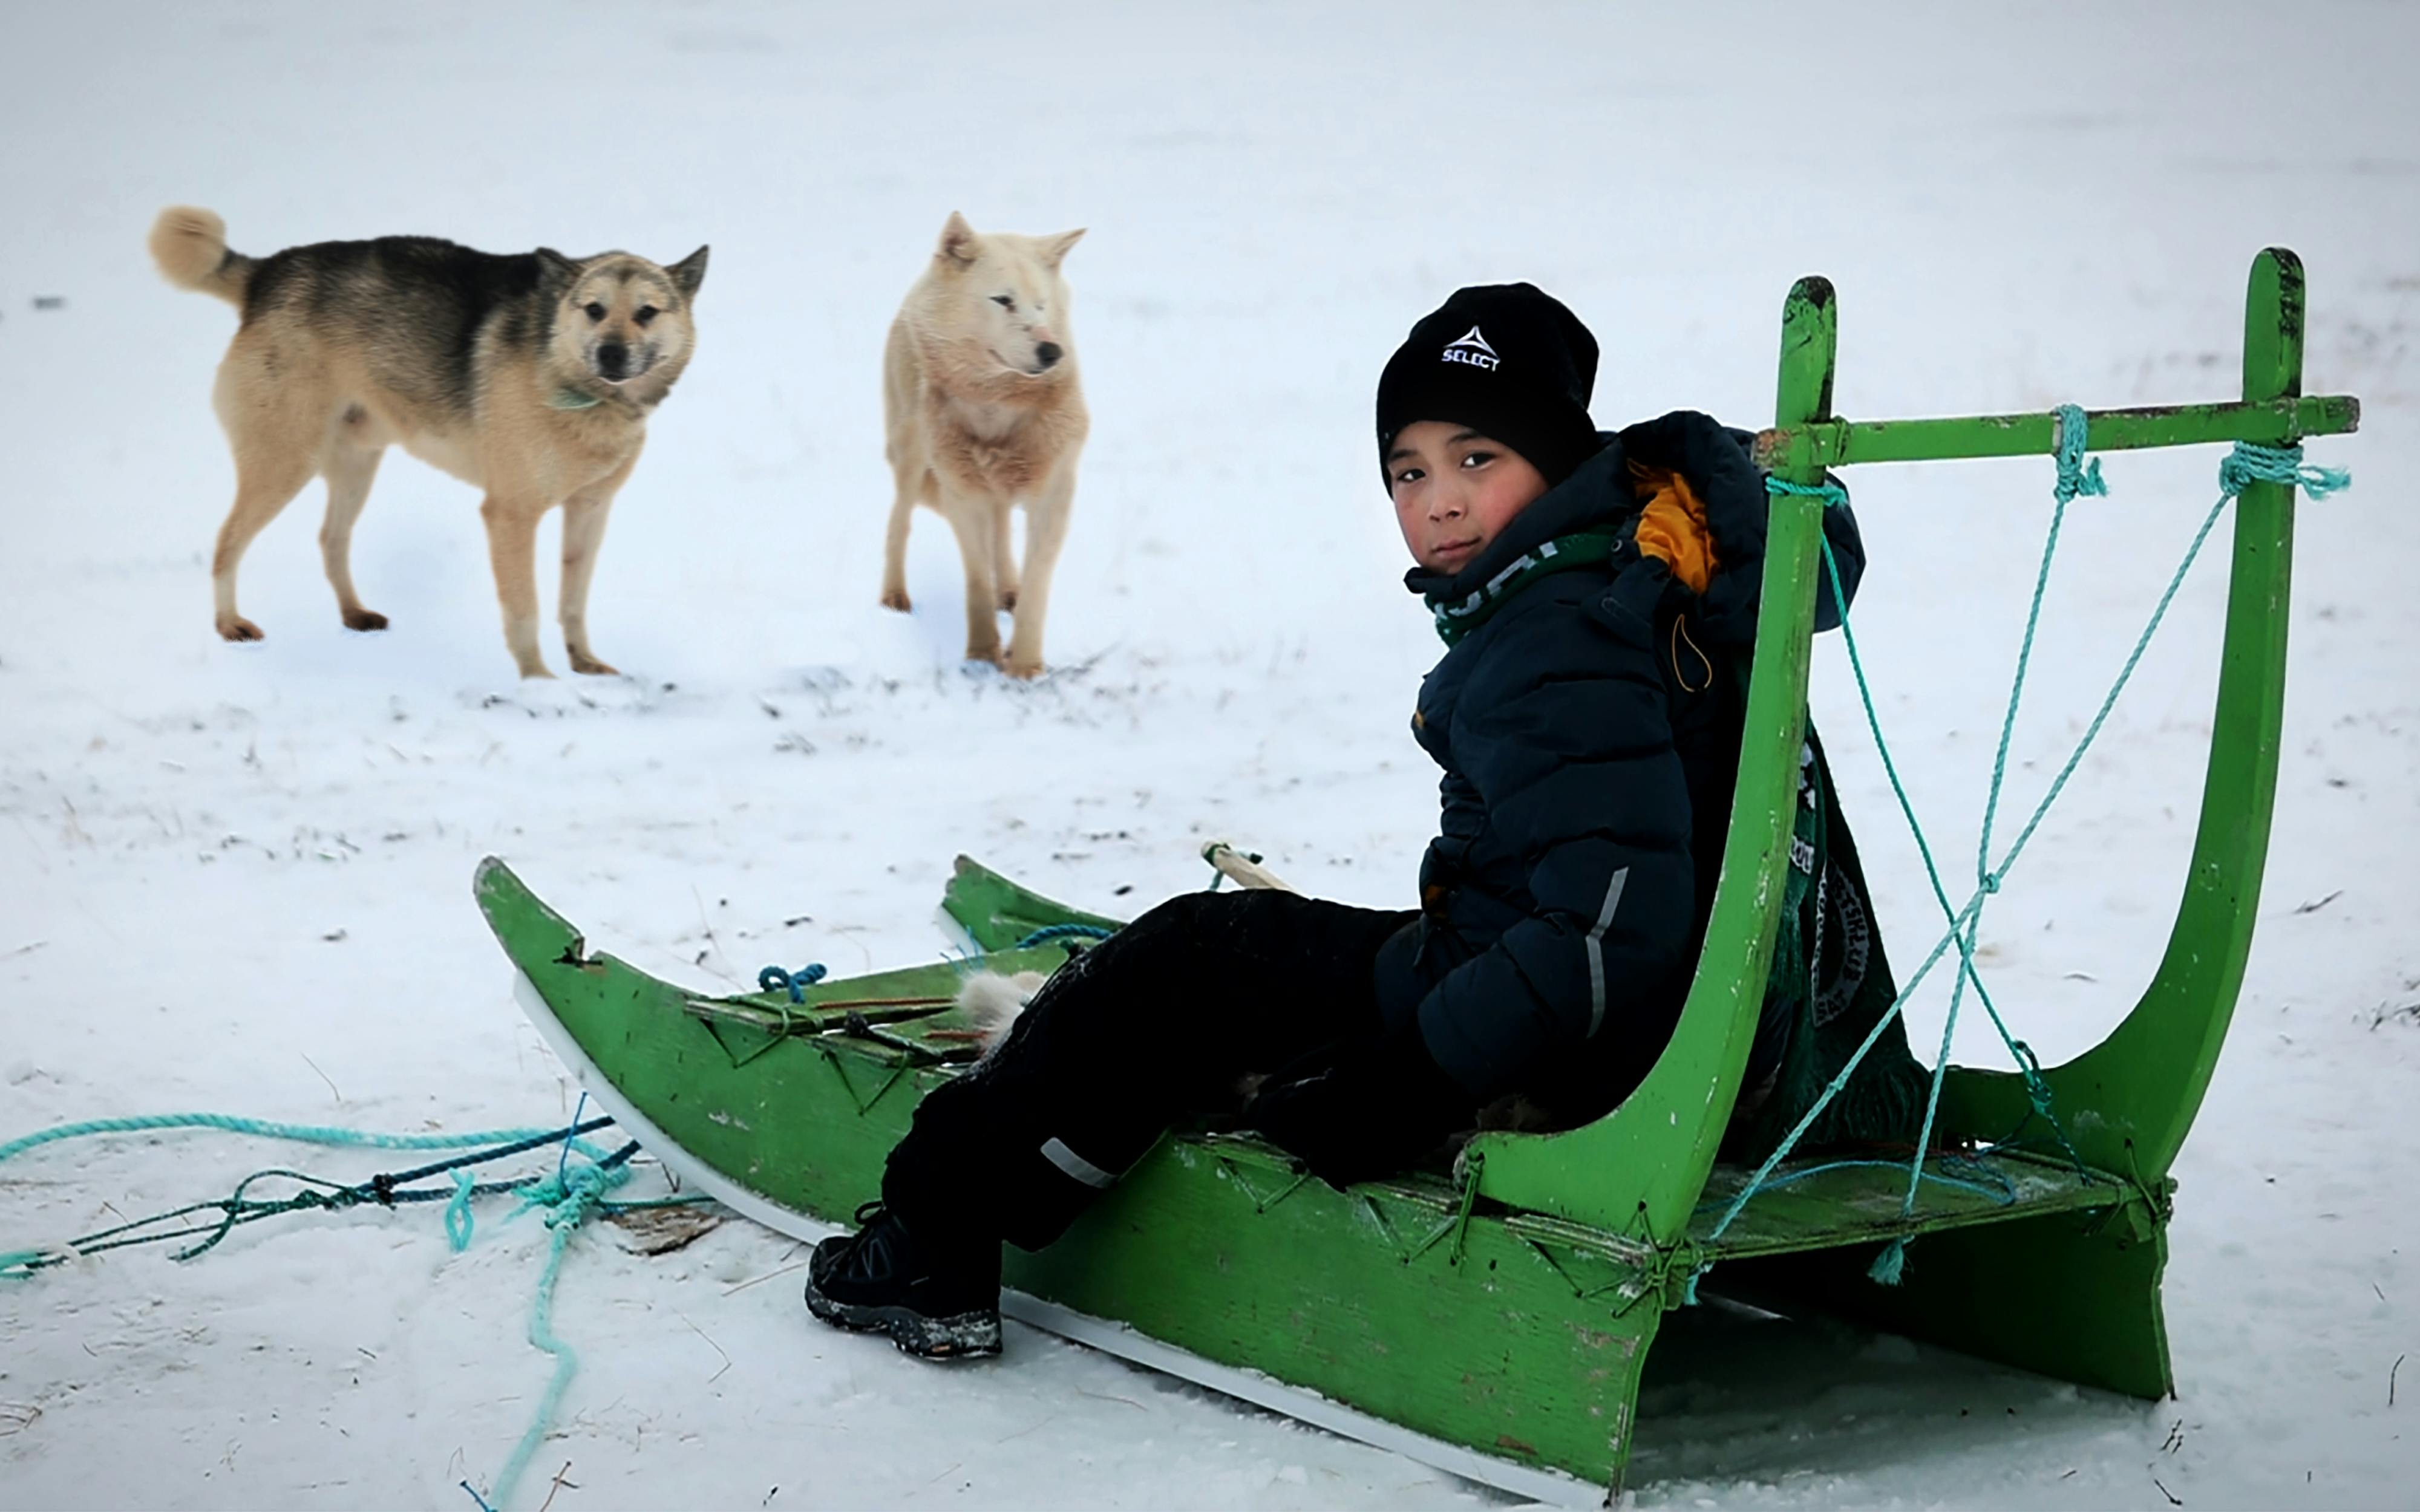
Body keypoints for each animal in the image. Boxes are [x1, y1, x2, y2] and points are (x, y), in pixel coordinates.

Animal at [150, 207, 707, 677]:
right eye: (593, 310)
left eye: (647, 313)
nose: (611, 354)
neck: (572, 383)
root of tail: (267, 271)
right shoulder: (510, 515)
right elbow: (524, 607)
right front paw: (539, 682)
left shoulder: (590, 510)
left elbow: (573, 603)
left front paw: (584, 666)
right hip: (284, 462)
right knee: (227, 542)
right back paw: (230, 625)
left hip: (356, 465)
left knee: (330, 539)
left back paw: (354, 614)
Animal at [881, 213, 1089, 677]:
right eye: (1003, 300)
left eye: (1041, 304)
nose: (1052, 351)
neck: (997, 408)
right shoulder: (963, 493)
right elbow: (975, 581)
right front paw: (981, 656)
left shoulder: (1055, 494)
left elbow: (1036, 586)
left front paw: (1026, 666)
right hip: (911, 462)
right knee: (899, 521)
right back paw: (893, 600)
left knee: (1003, 533)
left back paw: (1008, 591)